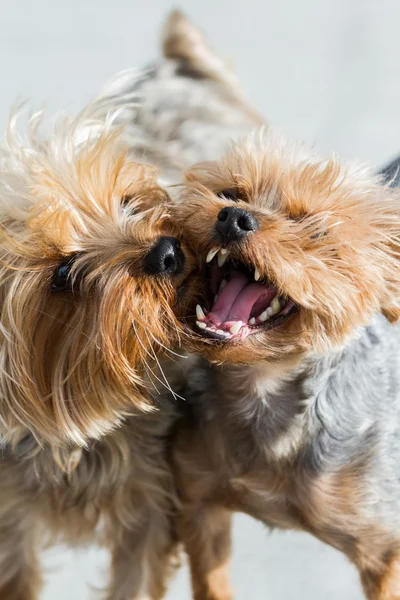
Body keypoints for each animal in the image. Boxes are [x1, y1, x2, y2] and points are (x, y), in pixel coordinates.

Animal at [173, 127, 400, 600]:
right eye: (229, 193)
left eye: (316, 229)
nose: (233, 217)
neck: (261, 384)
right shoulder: (200, 503)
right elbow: (212, 584)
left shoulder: (386, 550)